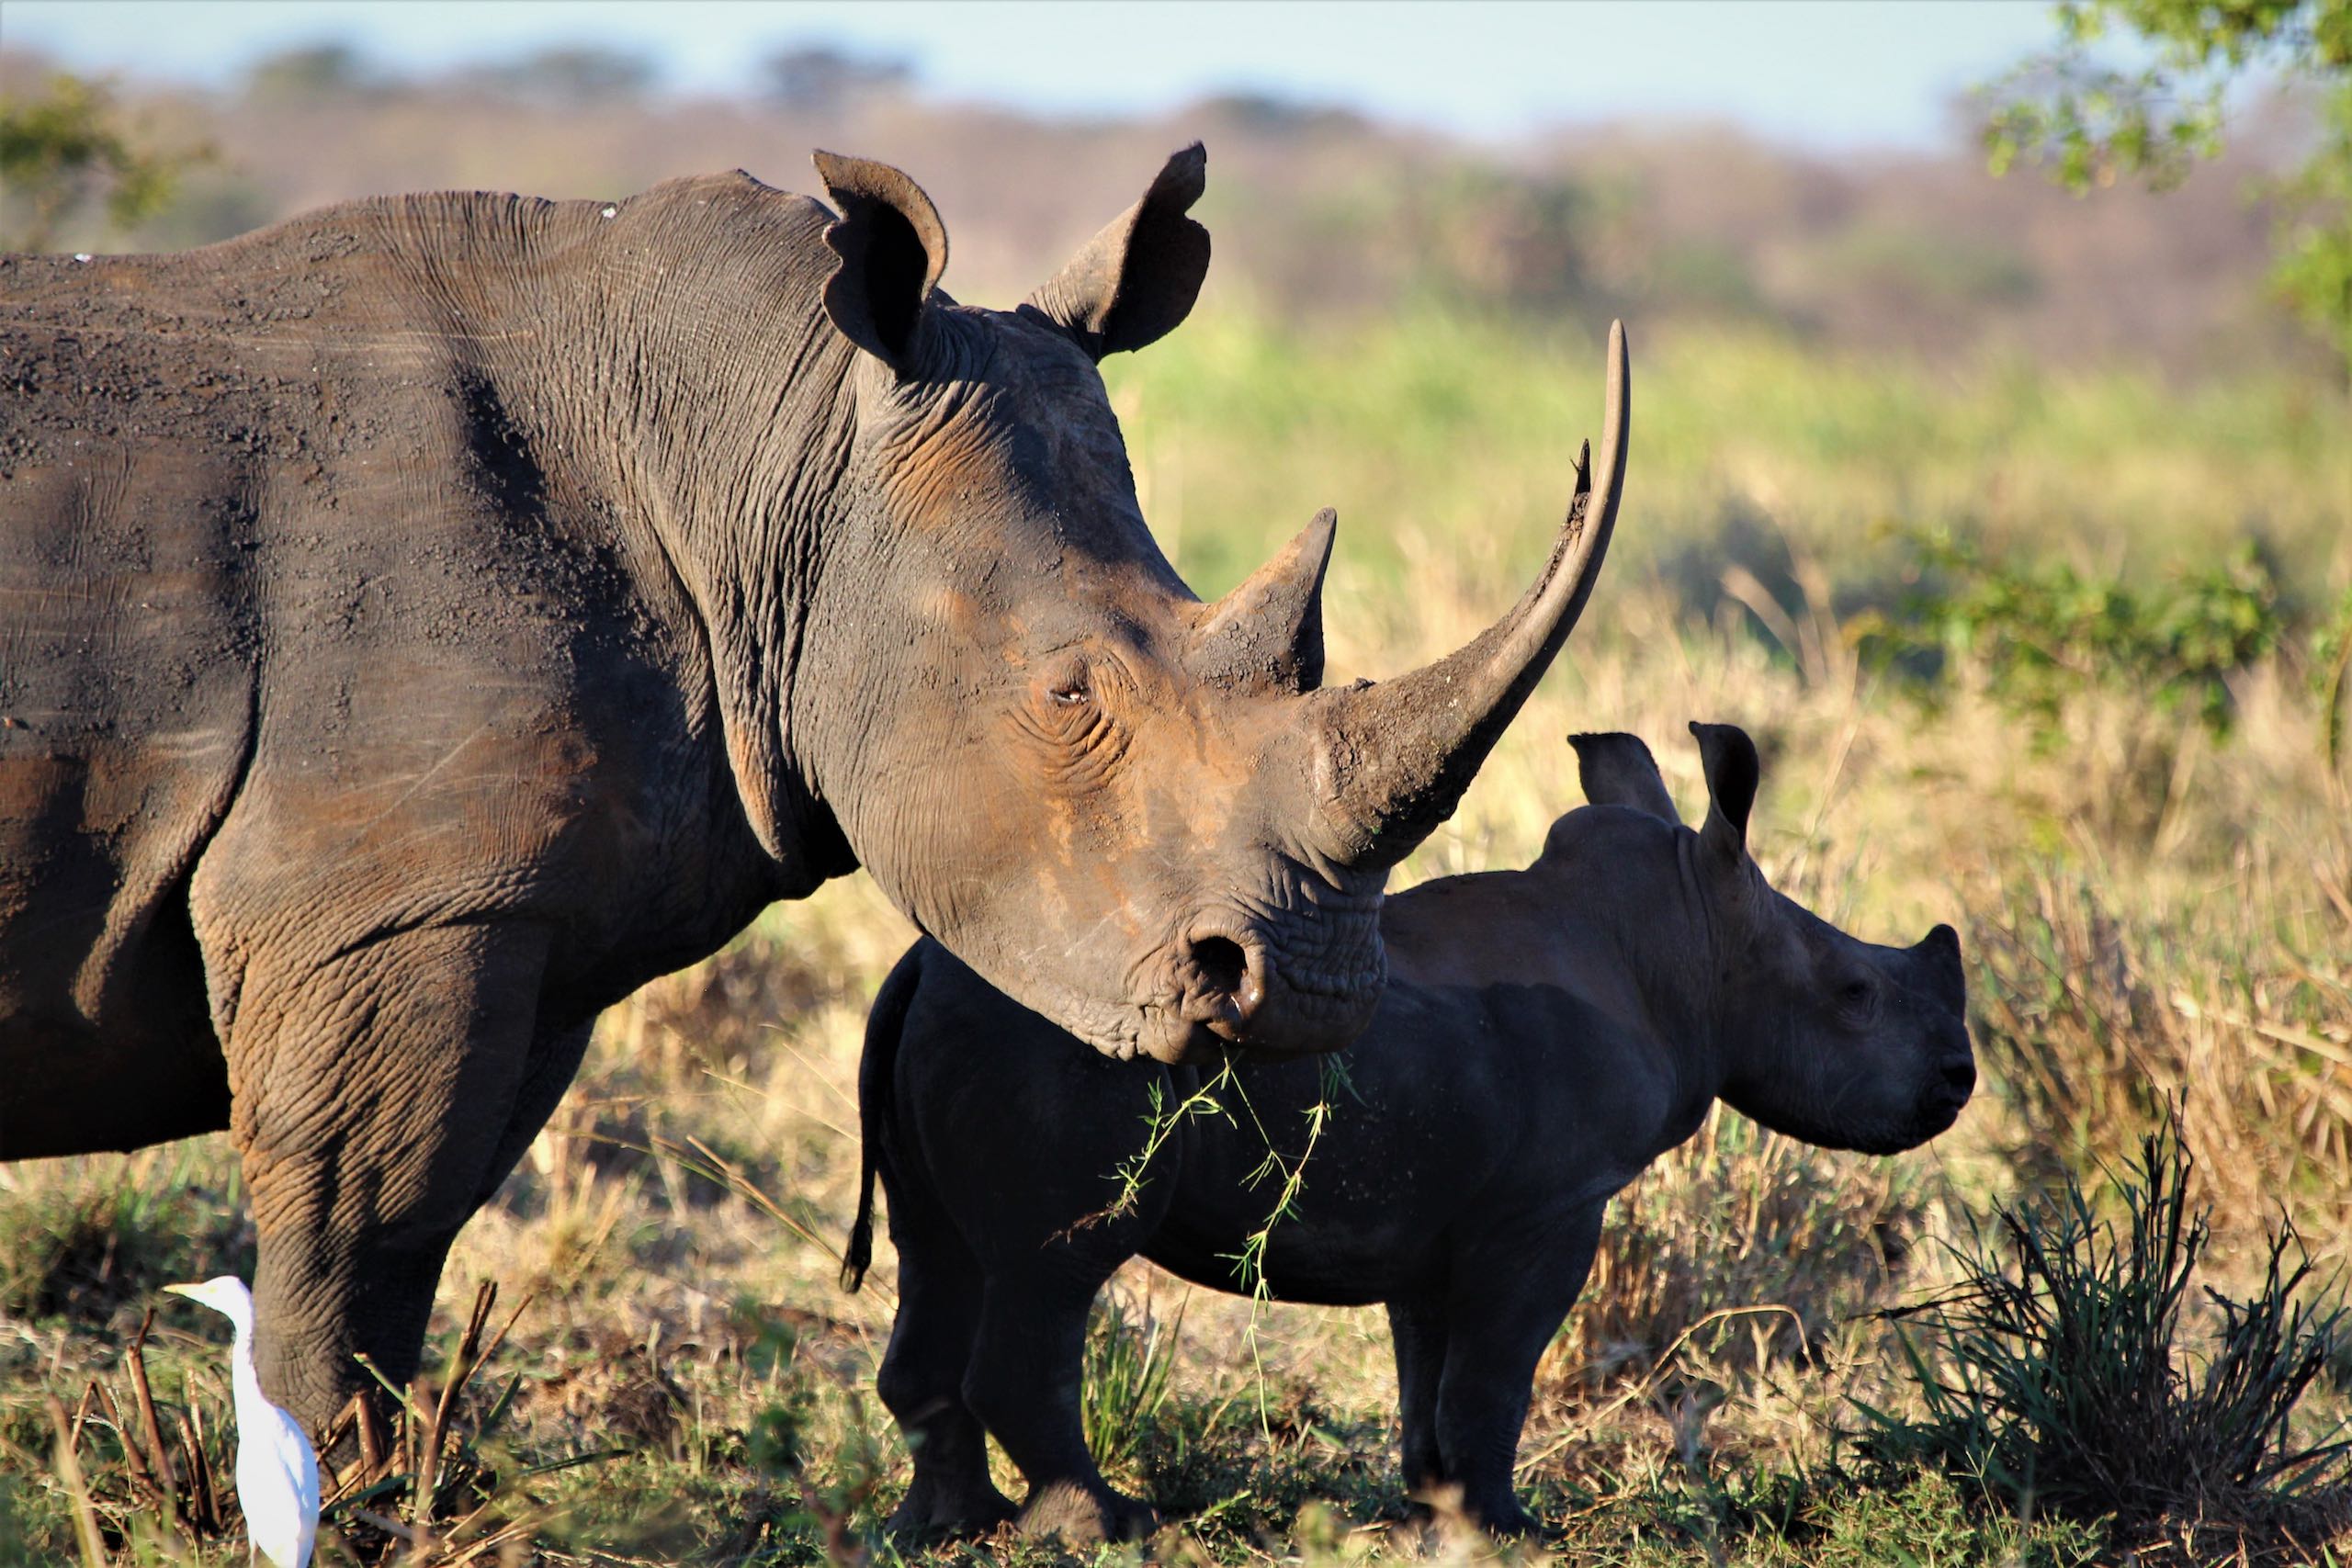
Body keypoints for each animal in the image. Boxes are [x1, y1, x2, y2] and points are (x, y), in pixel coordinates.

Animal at [842, 728, 1966, 1541]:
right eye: (1855, 994)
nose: (1960, 1082)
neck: (1691, 934)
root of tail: (918, 969)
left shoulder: (1441, 1215)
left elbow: (1433, 1373)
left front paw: (1439, 1515)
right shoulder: (1549, 1204)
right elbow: (1496, 1372)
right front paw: (1513, 1531)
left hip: (959, 1029)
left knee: (938, 1253)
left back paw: (947, 1529)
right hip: (1053, 1057)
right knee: (1056, 1268)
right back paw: (1110, 1527)